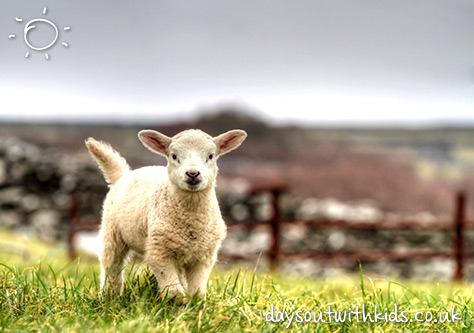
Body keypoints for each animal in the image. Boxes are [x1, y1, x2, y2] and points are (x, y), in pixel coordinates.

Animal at [85, 128, 248, 300]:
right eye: (174, 156)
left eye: (211, 155)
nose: (192, 174)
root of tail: (124, 175)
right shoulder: (159, 251)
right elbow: (174, 290)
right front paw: (177, 302)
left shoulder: (204, 256)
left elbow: (197, 292)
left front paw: (193, 304)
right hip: (112, 233)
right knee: (112, 265)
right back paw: (110, 296)